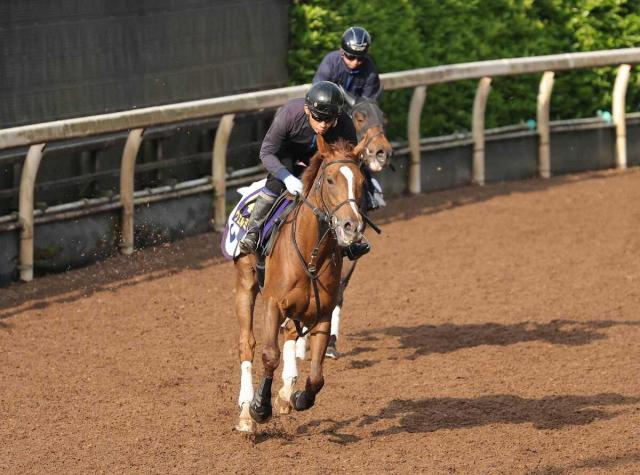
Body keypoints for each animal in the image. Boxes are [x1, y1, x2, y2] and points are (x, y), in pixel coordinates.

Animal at [233, 135, 367, 434]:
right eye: (329, 180)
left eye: (362, 180)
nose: (352, 227)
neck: (311, 254)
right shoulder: (273, 304)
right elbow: (269, 355)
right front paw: (260, 408)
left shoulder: (322, 313)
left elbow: (317, 377)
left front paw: (296, 397)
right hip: (245, 283)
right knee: (247, 343)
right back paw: (246, 413)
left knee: (290, 334)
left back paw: (285, 394)